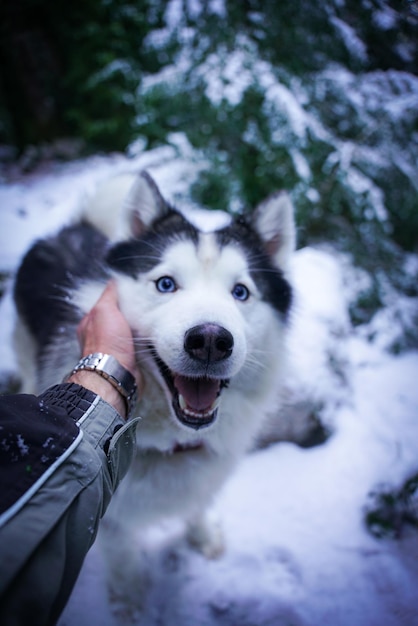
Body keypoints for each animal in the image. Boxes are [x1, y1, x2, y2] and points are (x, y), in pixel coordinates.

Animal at [14, 169, 296, 596]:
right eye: (165, 284)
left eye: (241, 291)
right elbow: (123, 559)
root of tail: (74, 227)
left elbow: (198, 505)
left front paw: (202, 535)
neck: (172, 441)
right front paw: (130, 598)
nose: (210, 341)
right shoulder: (107, 514)